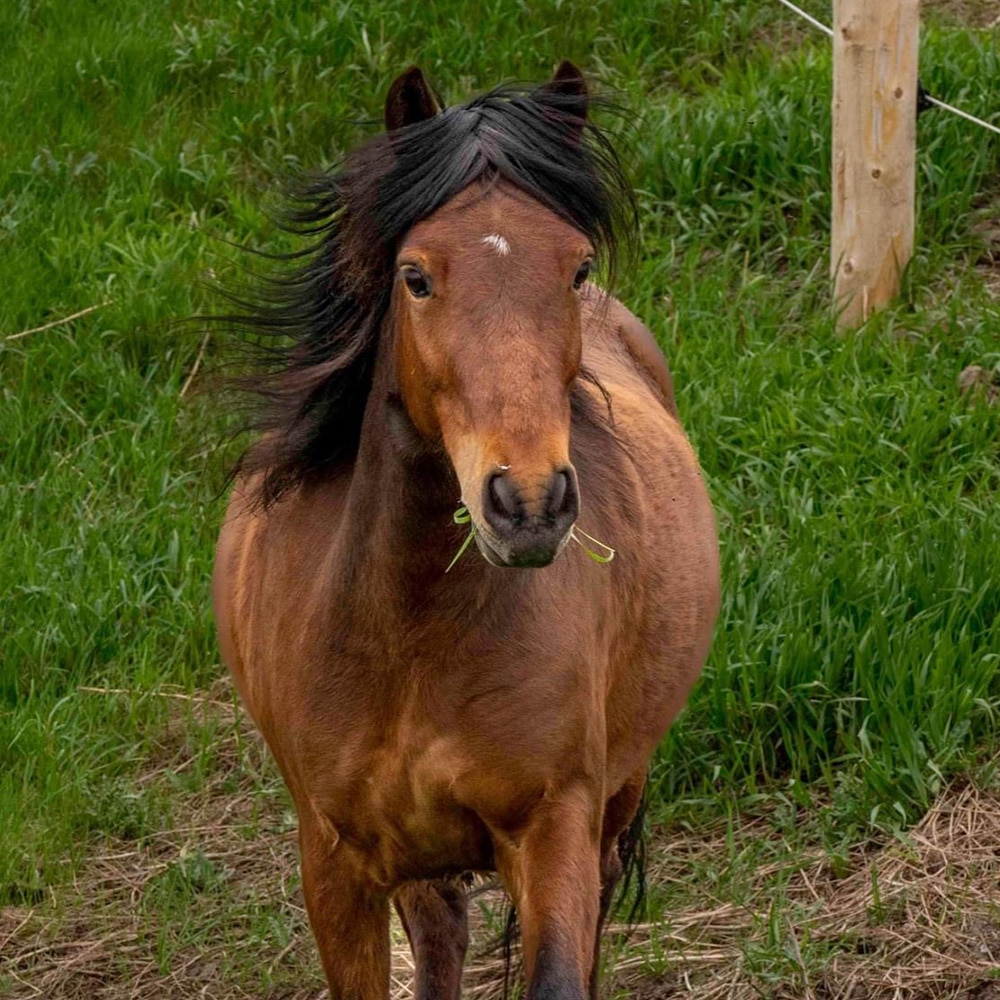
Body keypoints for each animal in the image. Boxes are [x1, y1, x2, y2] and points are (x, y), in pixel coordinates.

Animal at [215, 62, 720, 1000]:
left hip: (617, 793)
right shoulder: (334, 863)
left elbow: (559, 971)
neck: (406, 635)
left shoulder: (554, 825)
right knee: (442, 930)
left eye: (576, 265)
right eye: (415, 276)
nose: (528, 502)